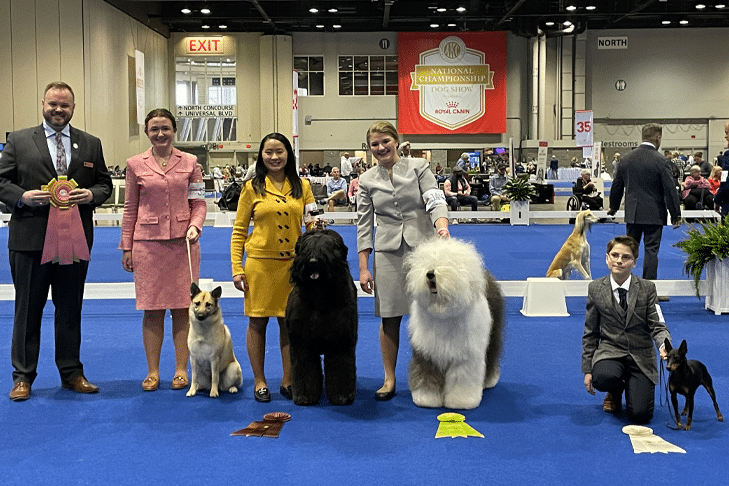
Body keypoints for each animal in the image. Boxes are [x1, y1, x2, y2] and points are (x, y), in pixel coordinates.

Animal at [286, 230, 356, 404]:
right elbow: (305, 370)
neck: (319, 298)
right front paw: (305, 396)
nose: (313, 262)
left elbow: (340, 370)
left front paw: (341, 396)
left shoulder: (341, 344)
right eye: (306, 248)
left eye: (326, 248)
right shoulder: (301, 345)